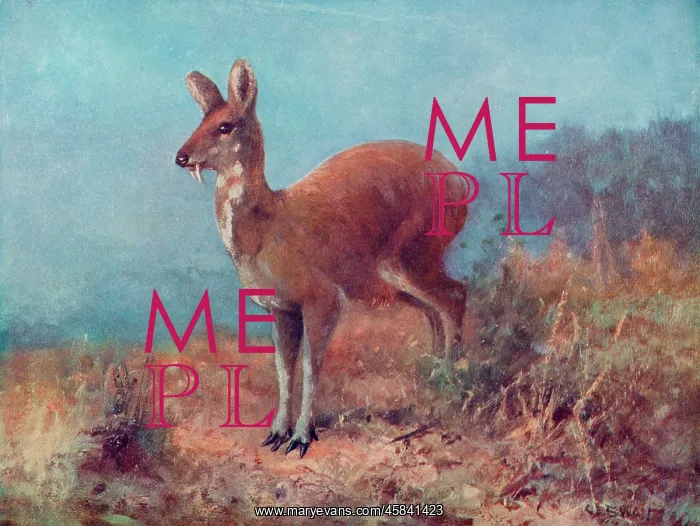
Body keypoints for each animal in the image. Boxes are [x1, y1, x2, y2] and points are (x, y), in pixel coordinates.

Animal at [175, 59, 468, 457]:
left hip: (415, 255)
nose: (181, 157)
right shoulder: (282, 308)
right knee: (435, 310)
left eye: (225, 125)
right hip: (392, 280)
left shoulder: (324, 297)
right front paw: (275, 433)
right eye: (200, 120)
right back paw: (430, 380)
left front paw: (301, 437)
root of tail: (461, 181)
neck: (265, 230)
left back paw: (451, 385)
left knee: (455, 295)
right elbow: (284, 368)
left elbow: (311, 366)